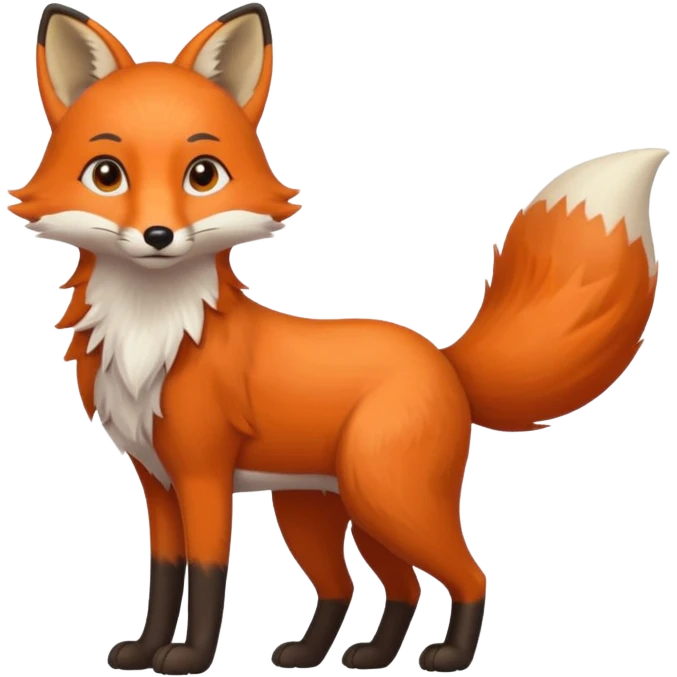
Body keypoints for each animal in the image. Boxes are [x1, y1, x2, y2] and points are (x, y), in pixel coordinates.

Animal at [8, 2, 666, 675]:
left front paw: (188, 657)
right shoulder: (157, 482)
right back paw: (348, 654)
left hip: (388, 499)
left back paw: (451, 655)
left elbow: (207, 574)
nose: (158, 235)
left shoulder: (203, 475)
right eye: (106, 175)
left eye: (203, 175)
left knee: (466, 574)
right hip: (325, 510)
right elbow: (164, 576)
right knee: (368, 587)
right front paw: (143, 648)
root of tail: (442, 358)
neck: (155, 335)